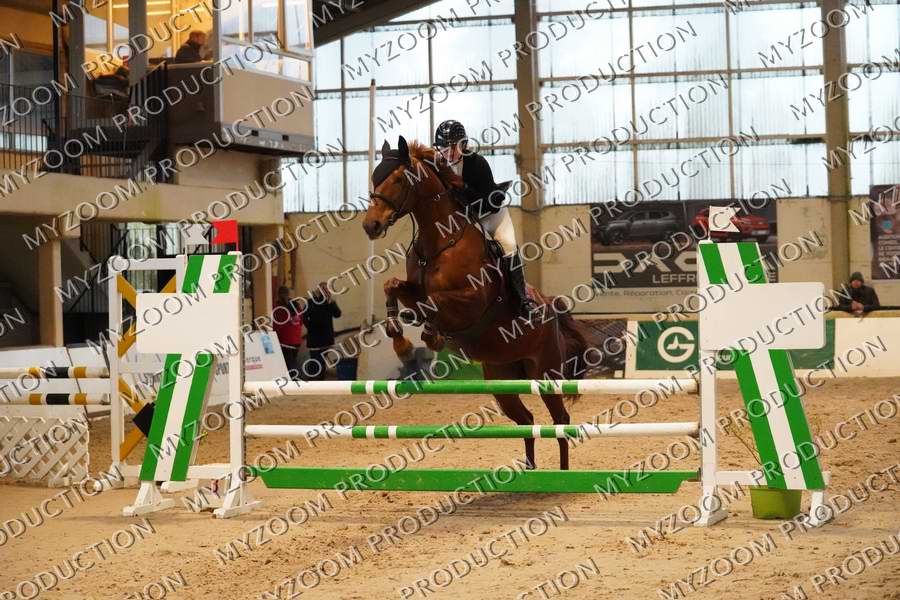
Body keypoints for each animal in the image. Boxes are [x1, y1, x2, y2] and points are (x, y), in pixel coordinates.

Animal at [362, 136, 590, 470]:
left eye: (399, 179)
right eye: (375, 178)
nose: (371, 226)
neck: (440, 241)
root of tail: (549, 306)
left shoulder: (471, 302)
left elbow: (433, 302)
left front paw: (430, 336)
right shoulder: (413, 288)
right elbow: (393, 287)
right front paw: (400, 340)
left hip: (547, 373)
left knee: (560, 420)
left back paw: (562, 474)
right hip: (502, 377)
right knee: (526, 420)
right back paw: (530, 471)